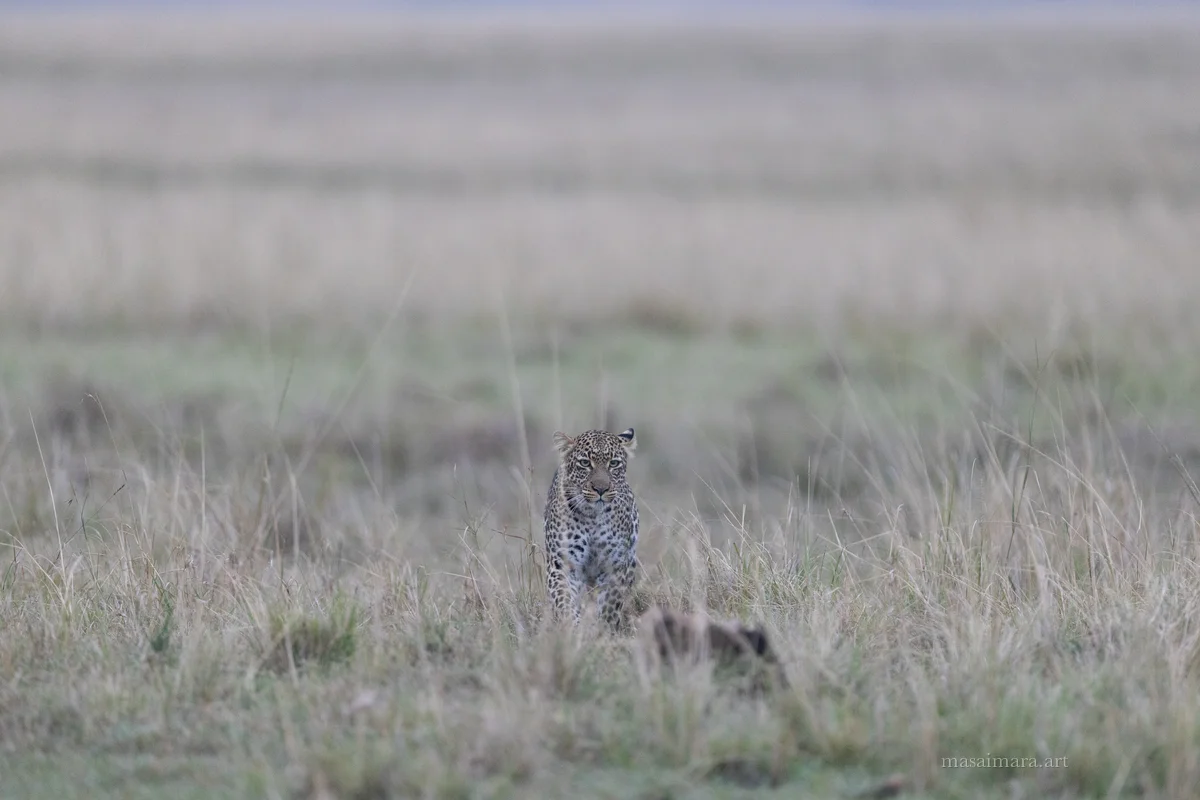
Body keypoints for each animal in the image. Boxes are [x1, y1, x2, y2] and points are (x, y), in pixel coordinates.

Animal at [543, 427, 640, 633]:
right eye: (585, 463)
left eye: (614, 463)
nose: (601, 489)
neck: (593, 517)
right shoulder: (562, 565)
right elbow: (564, 602)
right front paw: (574, 629)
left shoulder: (615, 566)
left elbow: (610, 606)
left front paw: (602, 631)